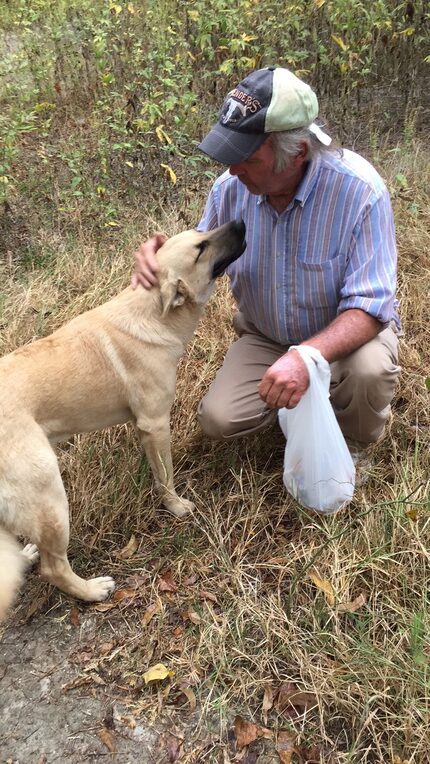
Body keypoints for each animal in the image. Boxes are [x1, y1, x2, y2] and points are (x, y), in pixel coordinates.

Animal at [0, 221, 247, 620]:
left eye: (201, 233)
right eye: (200, 248)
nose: (240, 222)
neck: (152, 312)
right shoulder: (155, 424)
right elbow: (166, 477)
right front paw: (176, 507)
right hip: (49, 497)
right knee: (54, 568)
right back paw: (91, 590)